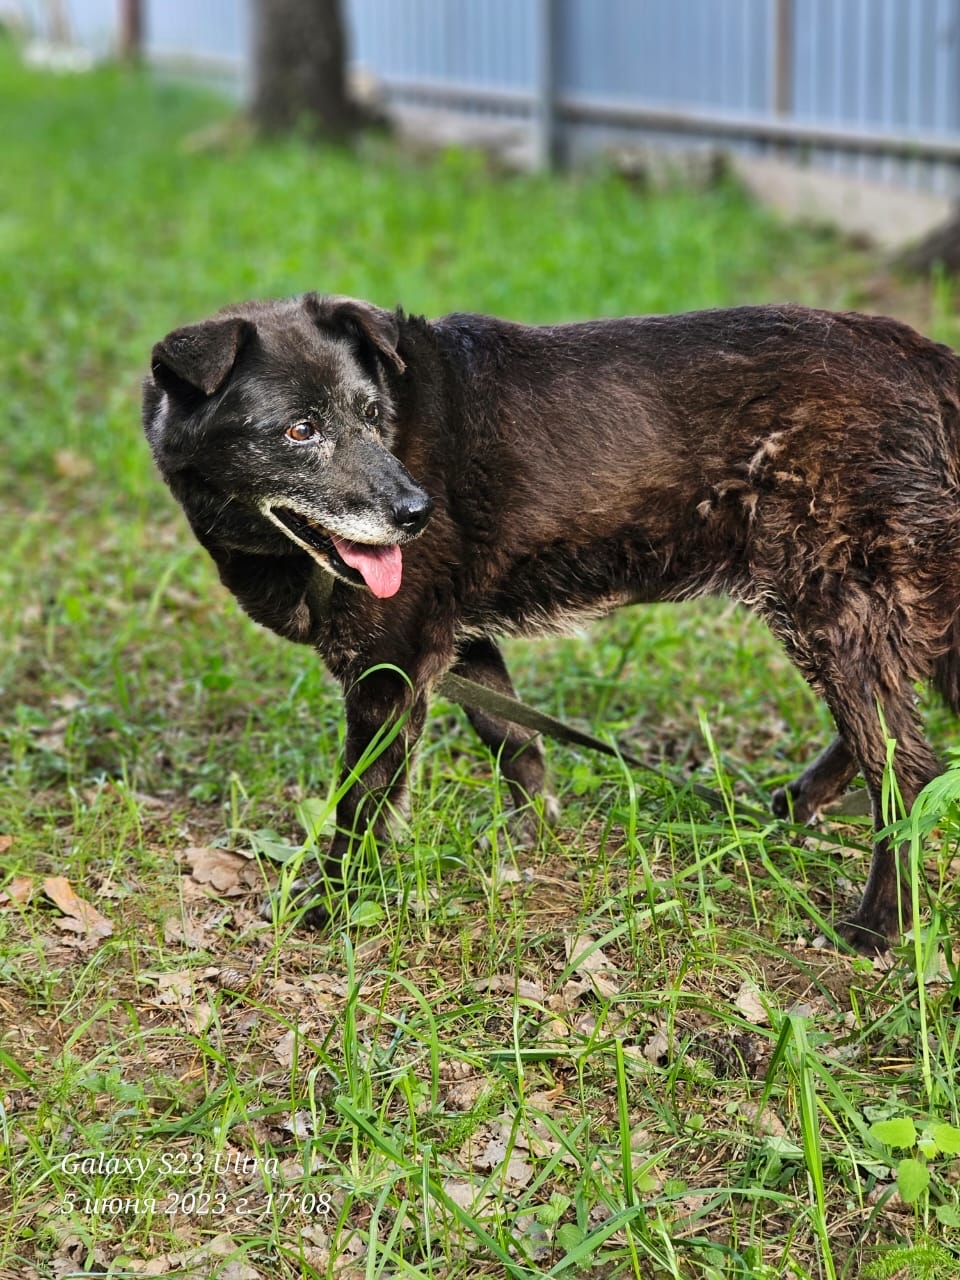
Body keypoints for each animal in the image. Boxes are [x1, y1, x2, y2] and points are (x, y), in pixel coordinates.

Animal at [140, 293, 960, 952]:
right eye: (299, 431)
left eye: (373, 416)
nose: (417, 513)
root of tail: (928, 359)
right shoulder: (458, 640)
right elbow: (512, 738)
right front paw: (531, 837)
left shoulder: (392, 663)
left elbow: (361, 802)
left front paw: (331, 906)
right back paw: (796, 806)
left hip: (829, 601)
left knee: (907, 768)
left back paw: (879, 927)